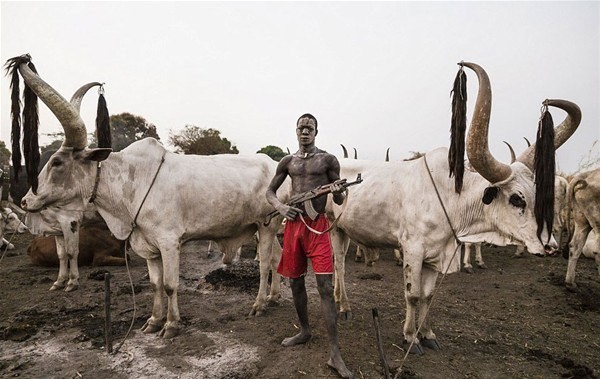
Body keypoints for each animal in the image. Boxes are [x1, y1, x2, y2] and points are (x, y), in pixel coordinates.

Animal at [9, 55, 288, 340]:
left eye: (57, 162)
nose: (25, 201)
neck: (132, 182)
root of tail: (274, 164)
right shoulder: (149, 247)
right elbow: (155, 284)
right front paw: (154, 321)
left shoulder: (169, 242)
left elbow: (170, 284)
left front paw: (171, 324)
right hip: (266, 226)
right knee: (277, 257)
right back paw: (274, 297)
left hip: (266, 225)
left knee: (265, 263)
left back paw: (259, 304)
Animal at [326, 62, 580, 356]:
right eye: (517, 199)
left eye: (538, 194)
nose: (549, 245)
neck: (450, 198)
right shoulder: (413, 249)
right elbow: (413, 294)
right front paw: (409, 338)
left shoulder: (437, 254)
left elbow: (427, 296)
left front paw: (427, 334)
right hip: (332, 228)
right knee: (339, 264)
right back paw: (344, 307)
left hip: (345, 230)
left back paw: (340, 301)